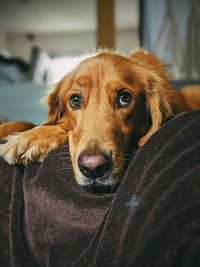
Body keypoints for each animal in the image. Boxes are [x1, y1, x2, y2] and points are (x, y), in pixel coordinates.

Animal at [0, 50, 200, 192]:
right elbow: (24, 122)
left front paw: (26, 140)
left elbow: (58, 128)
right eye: (75, 100)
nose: (93, 168)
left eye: (124, 98)